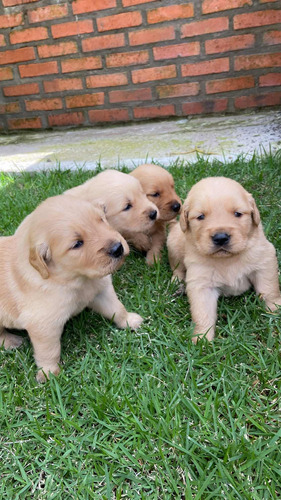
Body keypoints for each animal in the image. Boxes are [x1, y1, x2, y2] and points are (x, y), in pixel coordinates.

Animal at [0, 193, 142, 380]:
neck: (77, 279)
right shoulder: (43, 324)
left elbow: (117, 309)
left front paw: (129, 321)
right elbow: (48, 350)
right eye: (77, 244)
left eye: (101, 220)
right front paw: (48, 372)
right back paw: (11, 341)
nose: (118, 248)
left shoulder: (101, 291)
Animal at [166, 177, 280, 344]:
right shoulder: (201, 283)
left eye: (237, 213)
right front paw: (202, 339)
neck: (227, 259)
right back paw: (176, 282)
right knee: (177, 267)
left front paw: (275, 309)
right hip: (174, 244)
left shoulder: (264, 260)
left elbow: (269, 289)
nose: (220, 238)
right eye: (200, 217)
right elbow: (202, 313)